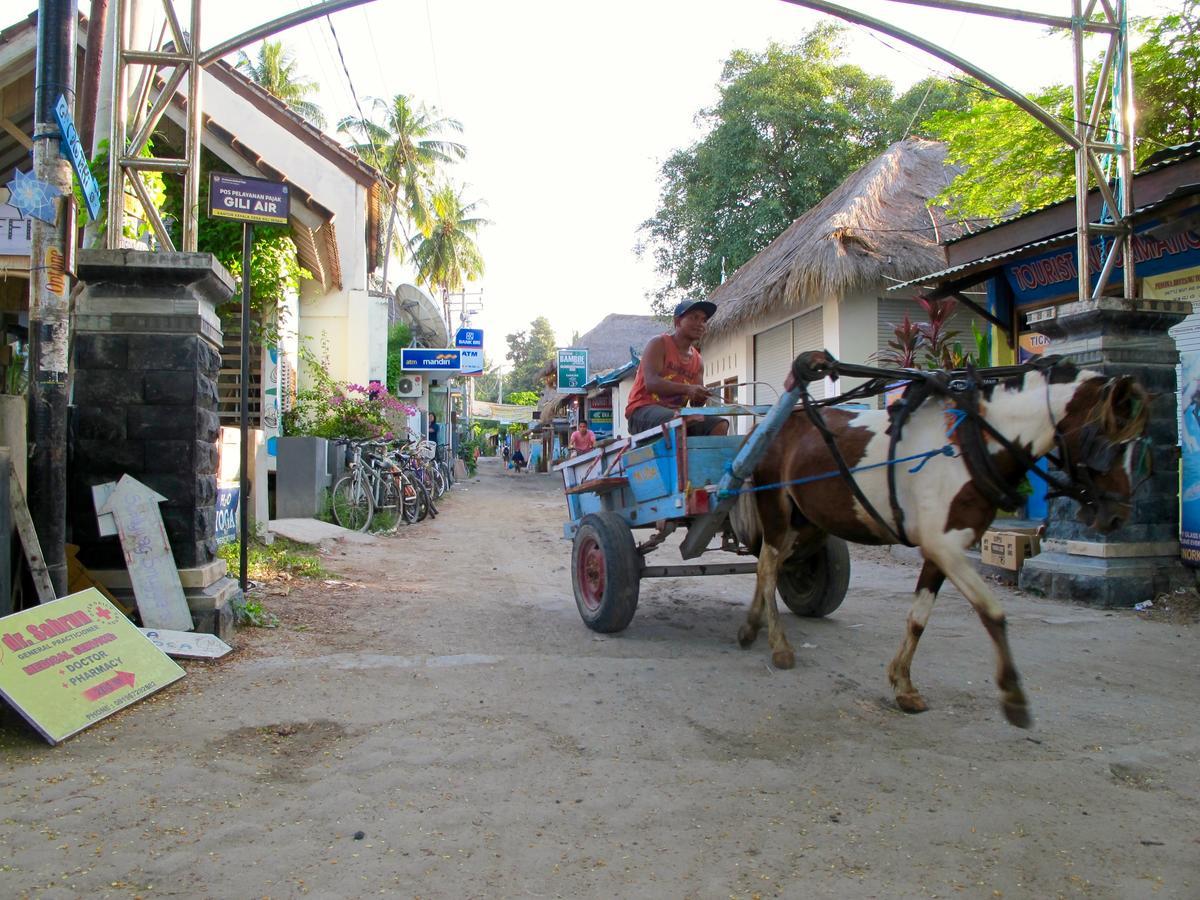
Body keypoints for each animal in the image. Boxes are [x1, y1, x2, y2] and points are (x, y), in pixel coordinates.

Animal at [734, 355, 1147, 734]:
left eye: (1137, 447)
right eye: (1107, 444)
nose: (1117, 517)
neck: (973, 444)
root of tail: (767, 425)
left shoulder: (942, 550)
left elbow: (918, 618)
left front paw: (903, 684)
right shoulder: (944, 547)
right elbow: (993, 613)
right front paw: (1013, 697)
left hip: (806, 521)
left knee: (772, 565)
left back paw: (752, 626)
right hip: (776, 510)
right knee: (768, 566)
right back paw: (779, 645)